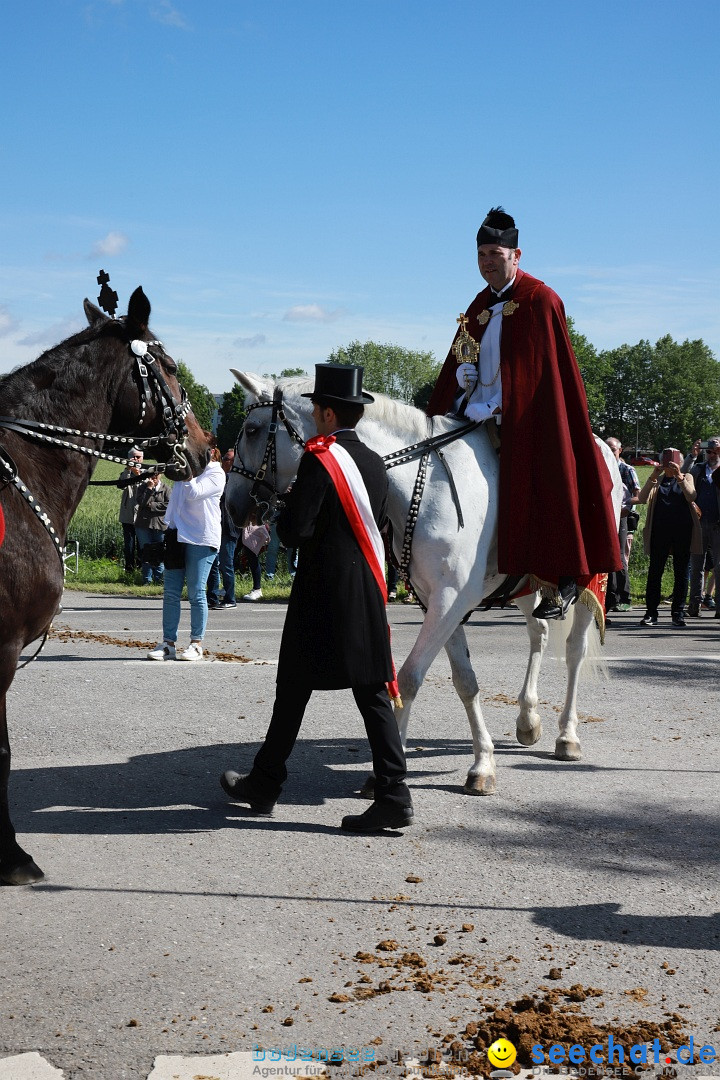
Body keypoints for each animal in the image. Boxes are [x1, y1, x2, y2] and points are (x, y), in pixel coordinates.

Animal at [227, 375, 621, 799]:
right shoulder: (439, 601)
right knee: (540, 631)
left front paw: (396, 768)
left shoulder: (452, 600)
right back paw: (528, 719)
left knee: (575, 651)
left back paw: (567, 735)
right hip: (525, 584)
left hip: (589, 585)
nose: (231, 506)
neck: (423, 482)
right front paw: (482, 763)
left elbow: (410, 677)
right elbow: (465, 681)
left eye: (253, 430)